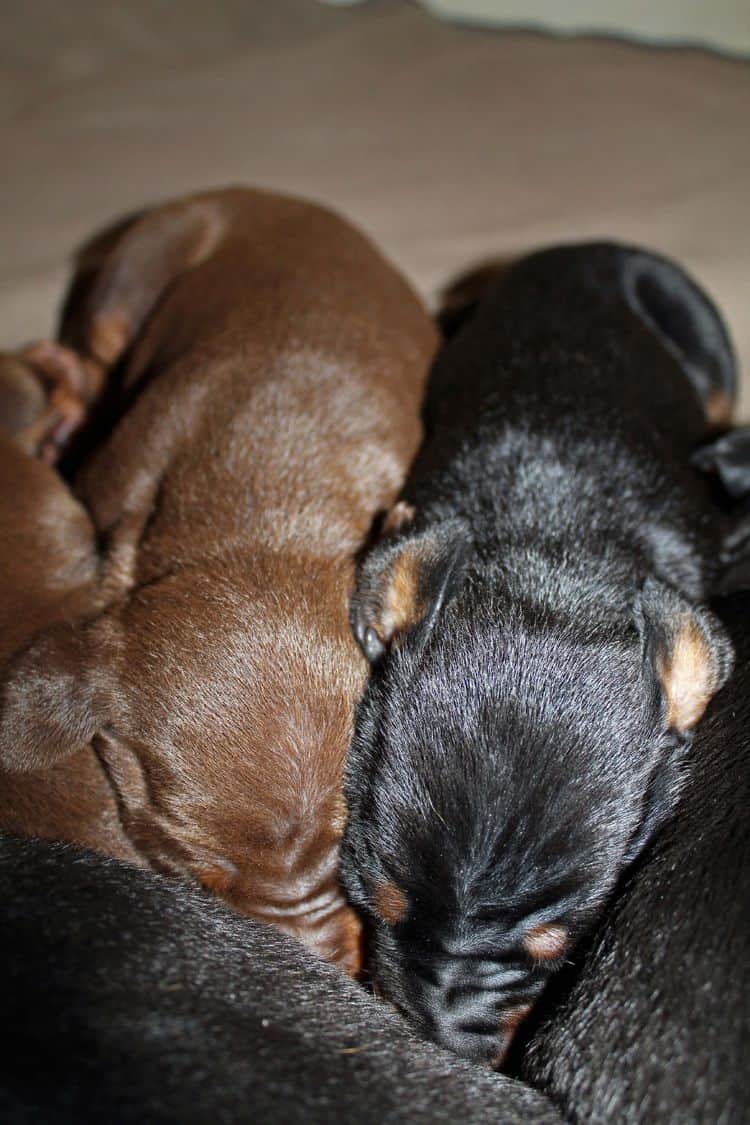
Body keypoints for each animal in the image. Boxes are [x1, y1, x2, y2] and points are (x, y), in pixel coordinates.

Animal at [0, 186, 436, 976]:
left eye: (355, 857)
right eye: (195, 877)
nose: (312, 965)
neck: (259, 510)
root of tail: (266, 194)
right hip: (132, 274)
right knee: (94, 350)